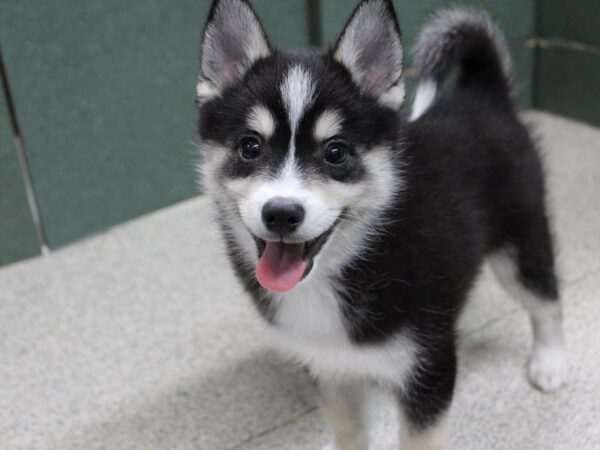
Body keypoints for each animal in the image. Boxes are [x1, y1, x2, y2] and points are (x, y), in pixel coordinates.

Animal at [196, 1, 568, 448]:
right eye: (249, 147)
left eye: (335, 152)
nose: (282, 213)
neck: (349, 264)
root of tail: (484, 96)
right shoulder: (329, 367)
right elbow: (349, 429)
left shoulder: (429, 367)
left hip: (520, 244)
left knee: (546, 300)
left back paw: (550, 361)